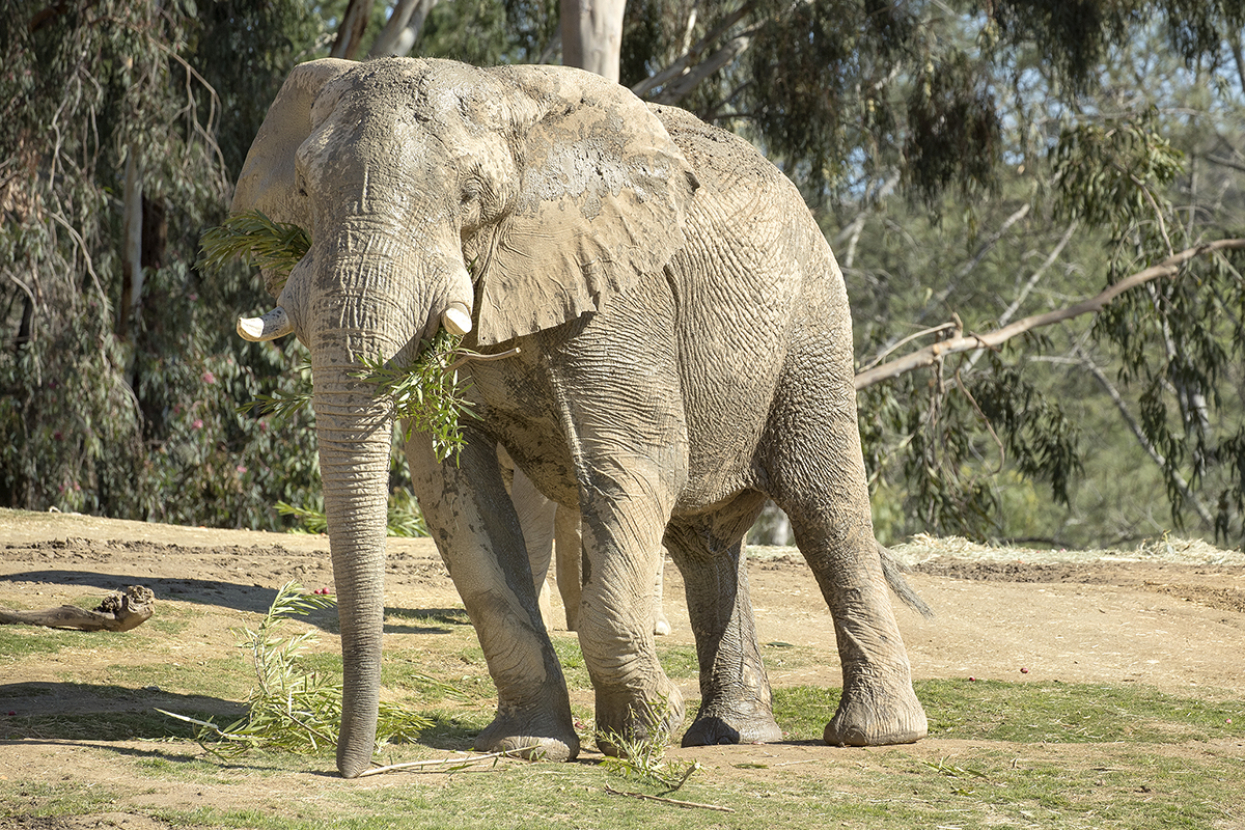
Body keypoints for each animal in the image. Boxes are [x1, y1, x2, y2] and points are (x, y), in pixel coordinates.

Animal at [231, 56, 927, 778]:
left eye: (471, 197)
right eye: (305, 189)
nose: (350, 767)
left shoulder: (618, 293)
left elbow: (637, 463)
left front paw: (638, 736)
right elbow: (457, 495)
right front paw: (527, 747)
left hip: (811, 323)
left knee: (823, 504)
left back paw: (872, 734)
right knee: (702, 538)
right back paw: (729, 735)